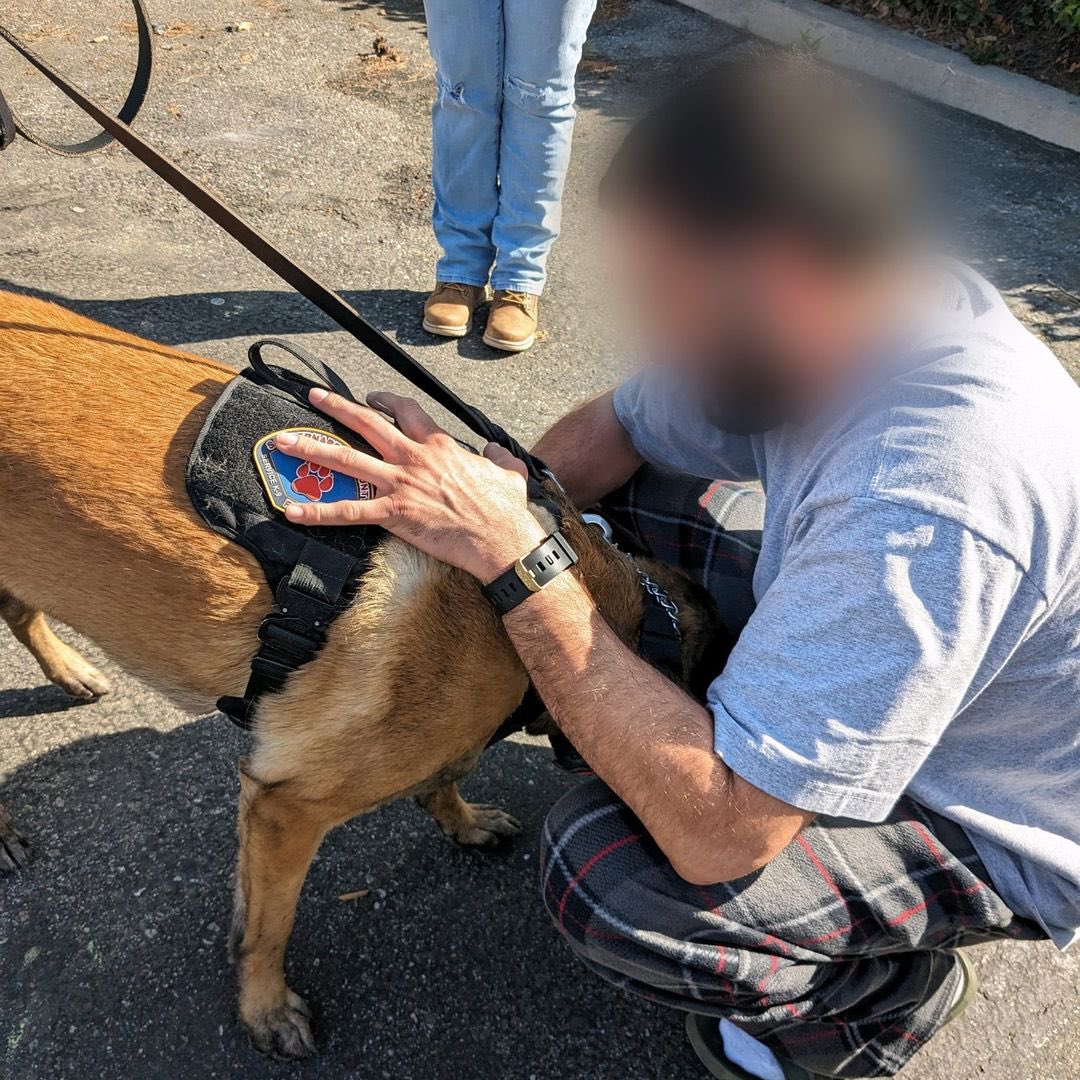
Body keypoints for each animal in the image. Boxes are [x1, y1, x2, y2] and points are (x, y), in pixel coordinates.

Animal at [0, 291, 717, 1058]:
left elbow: (443, 777)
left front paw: (462, 820)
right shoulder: (285, 808)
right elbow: (268, 926)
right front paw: (264, 1006)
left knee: (19, 606)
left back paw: (71, 672)